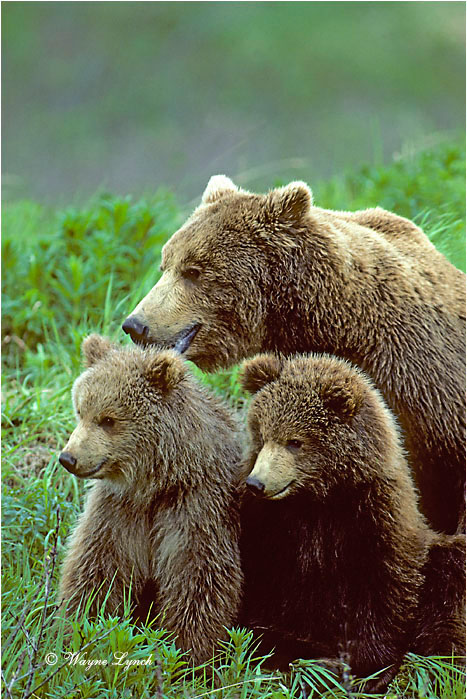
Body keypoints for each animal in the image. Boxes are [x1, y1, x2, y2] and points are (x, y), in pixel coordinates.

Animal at [58, 334, 243, 665]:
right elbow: (96, 570)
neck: (155, 483)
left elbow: (198, 579)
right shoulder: (119, 510)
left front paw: (186, 655)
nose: (69, 458)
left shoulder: (197, 507)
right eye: (81, 410)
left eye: (108, 419)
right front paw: (81, 631)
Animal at [236, 352, 465, 691]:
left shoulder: (375, 520)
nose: (257, 483)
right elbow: (262, 590)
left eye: (295, 441)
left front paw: (362, 668)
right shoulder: (270, 526)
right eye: (262, 434)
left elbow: (383, 596)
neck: (321, 497)